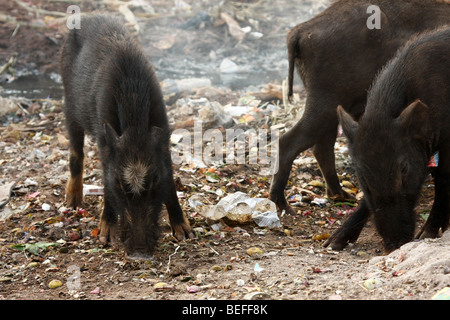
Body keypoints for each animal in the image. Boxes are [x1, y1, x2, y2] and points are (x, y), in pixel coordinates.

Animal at [60, 15, 193, 260]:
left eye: (154, 181)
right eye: (120, 185)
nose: (139, 252)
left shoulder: (163, 140)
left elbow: (170, 178)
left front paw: (185, 233)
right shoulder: (105, 143)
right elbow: (104, 180)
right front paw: (106, 237)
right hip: (69, 103)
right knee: (76, 150)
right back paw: (72, 203)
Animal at [268, 0, 450, 215]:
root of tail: (302, 31)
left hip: (333, 109)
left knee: (321, 146)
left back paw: (340, 194)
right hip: (324, 105)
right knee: (290, 142)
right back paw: (282, 203)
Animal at [326, 26, 450, 252]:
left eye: (404, 170)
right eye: (363, 178)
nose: (394, 244)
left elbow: (443, 178)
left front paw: (427, 234)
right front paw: (333, 243)